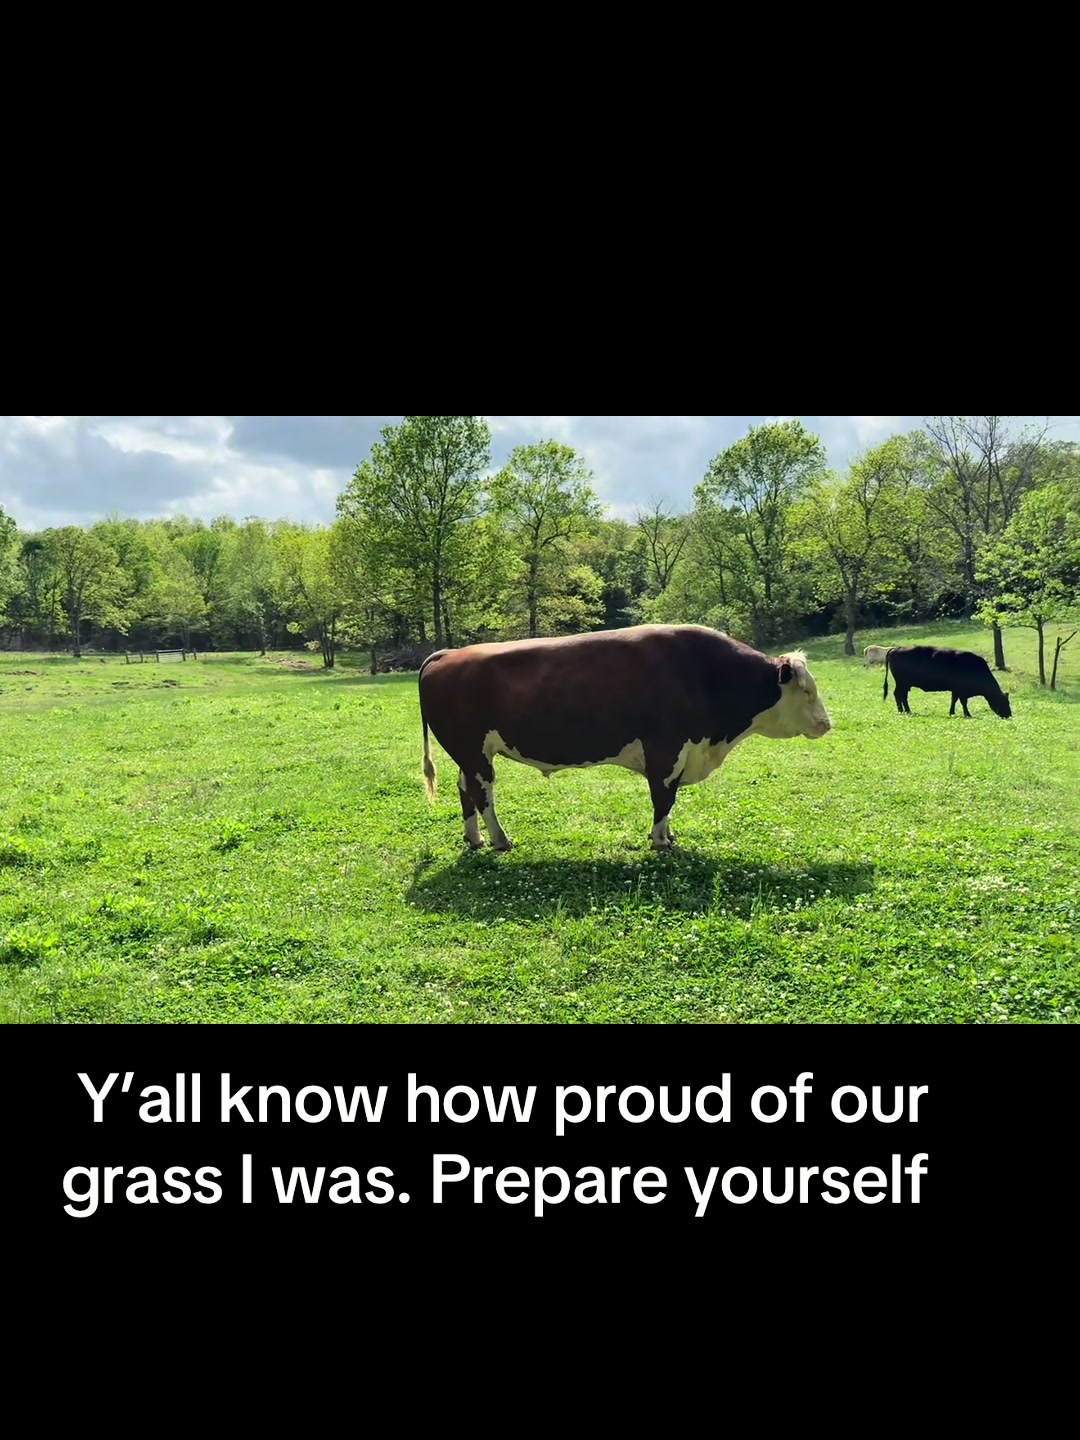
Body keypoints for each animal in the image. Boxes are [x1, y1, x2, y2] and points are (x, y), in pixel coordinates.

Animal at [418, 625, 832, 852]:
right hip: (474, 752)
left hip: (469, 753)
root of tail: (448, 653)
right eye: (807, 691)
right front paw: (661, 840)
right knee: (483, 793)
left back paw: (475, 838)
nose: (827, 724)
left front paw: (669, 836)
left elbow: (668, 801)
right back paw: (500, 840)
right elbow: (663, 798)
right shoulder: (666, 752)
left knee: (465, 790)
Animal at [883, 645, 1012, 719]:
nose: (1009, 715)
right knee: (899, 695)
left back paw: (906, 711)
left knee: (902, 696)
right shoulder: (961, 690)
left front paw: (952, 712)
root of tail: (896, 648)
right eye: (1004, 702)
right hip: (902, 683)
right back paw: (903, 711)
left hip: (904, 684)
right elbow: (962, 702)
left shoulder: (956, 690)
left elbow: (954, 700)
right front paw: (967, 714)